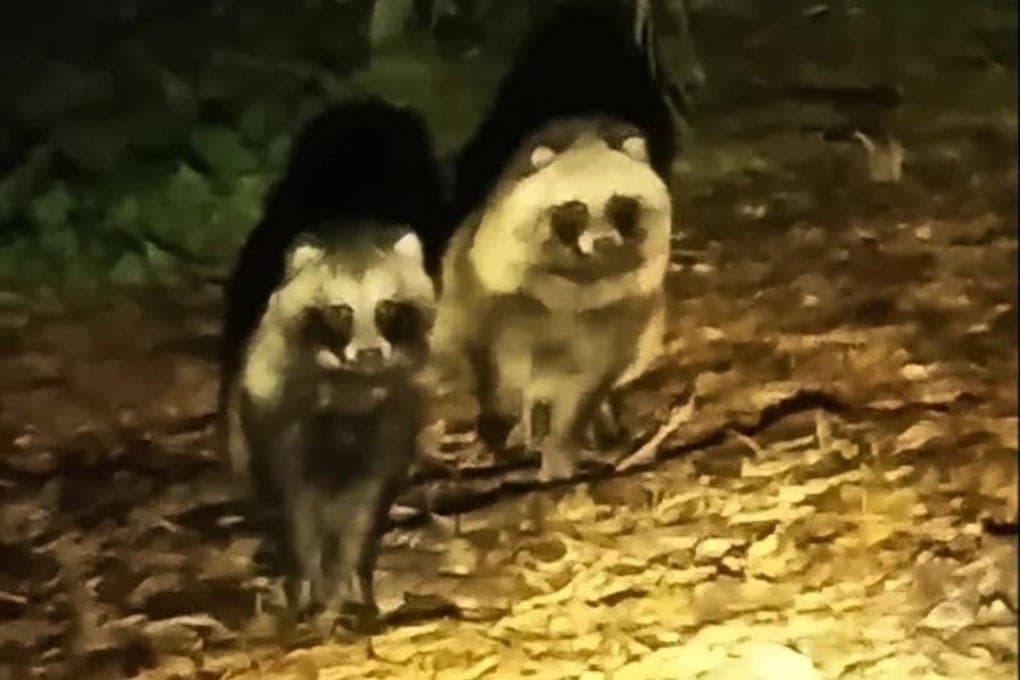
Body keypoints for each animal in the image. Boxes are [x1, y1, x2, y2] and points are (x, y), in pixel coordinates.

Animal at [218, 97, 443, 618]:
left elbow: (368, 507)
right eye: (341, 312)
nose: (369, 352)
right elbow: (294, 507)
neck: (350, 386)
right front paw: (306, 585)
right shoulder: (278, 411)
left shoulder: (390, 420)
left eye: (386, 308)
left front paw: (354, 584)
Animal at [432, 0, 678, 481]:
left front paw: (564, 447)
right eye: (575, 210)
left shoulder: (623, 308)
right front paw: (511, 424)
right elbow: (500, 364)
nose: (603, 243)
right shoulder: (498, 291)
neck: (580, 279)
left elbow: (590, 382)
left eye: (621, 206)